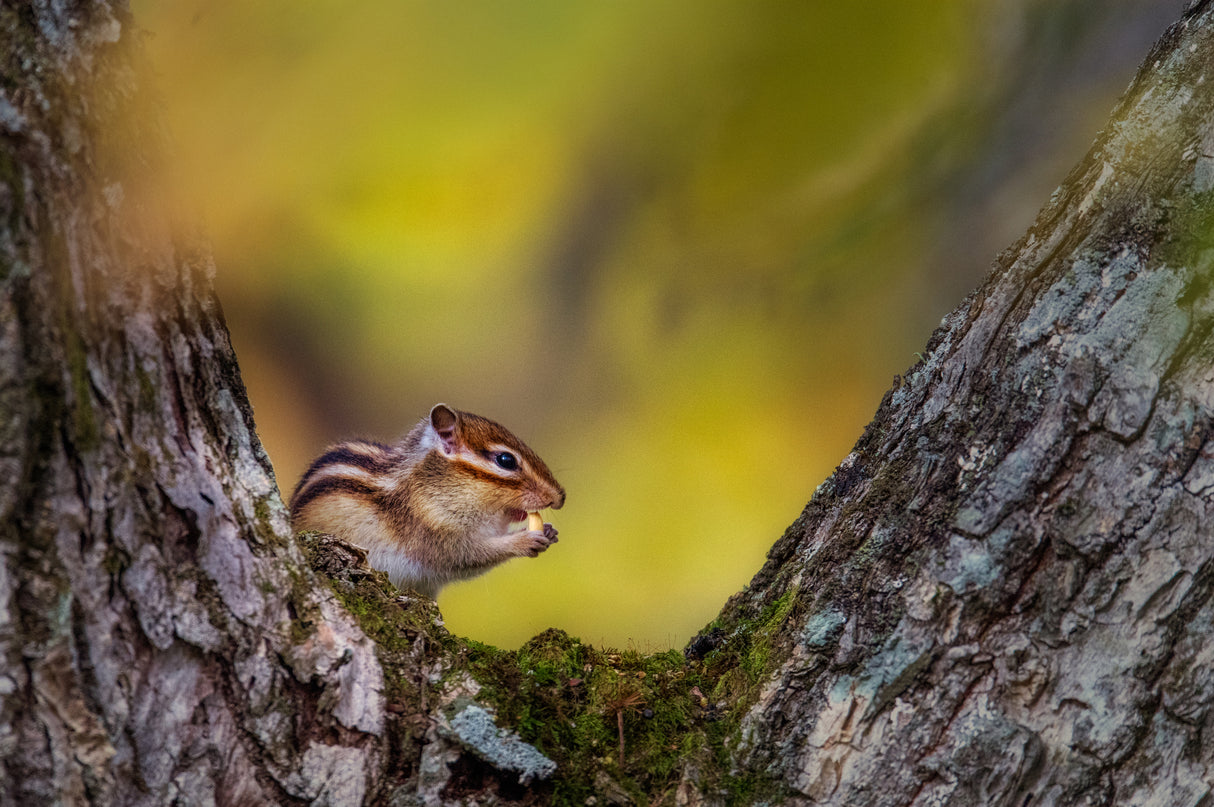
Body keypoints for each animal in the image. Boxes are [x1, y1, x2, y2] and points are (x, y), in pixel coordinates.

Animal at [290, 403, 566, 599]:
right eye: (506, 460)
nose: (560, 497)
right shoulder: (431, 530)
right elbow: (467, 556)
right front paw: (525, 540)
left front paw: (549, 532)